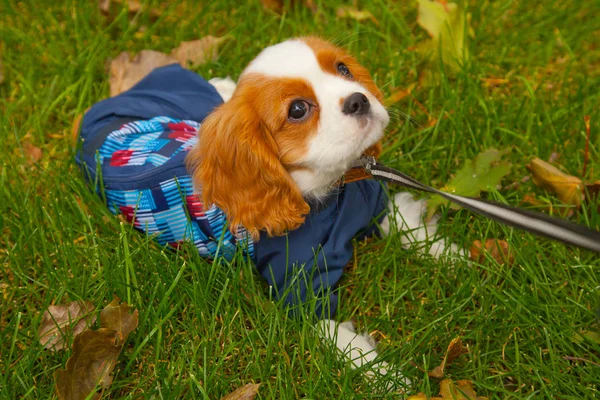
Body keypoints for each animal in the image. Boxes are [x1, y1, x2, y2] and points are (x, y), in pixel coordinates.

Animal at [76, 36, 460, 390]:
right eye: (298, 110)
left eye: (343, 69)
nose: (358, 100)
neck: (328, 192)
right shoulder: (302, 292)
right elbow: (348, 344)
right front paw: (389, 378)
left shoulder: (372, 206)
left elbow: (410, 228)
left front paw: (456, 257)